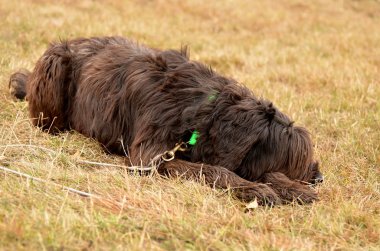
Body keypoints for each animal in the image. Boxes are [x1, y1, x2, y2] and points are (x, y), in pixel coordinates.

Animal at [8, 36, 322, 205]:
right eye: (290, 159)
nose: (319, 176)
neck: (201, 111)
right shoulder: (150, 158)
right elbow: (212, 170)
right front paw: (256, 188)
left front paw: (293, 188)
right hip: (55, 62)